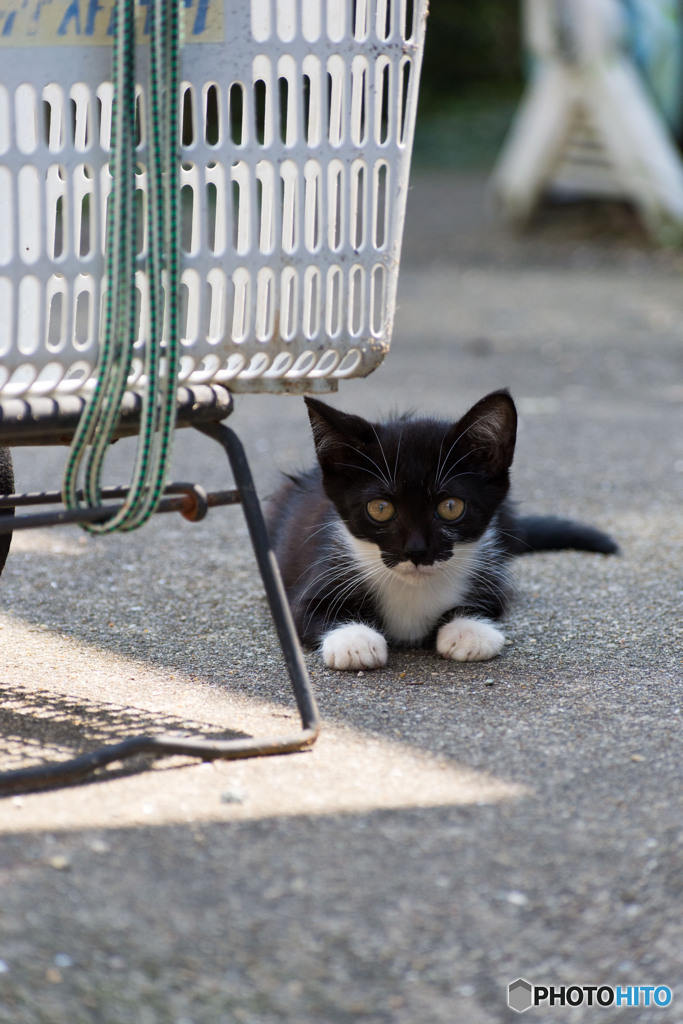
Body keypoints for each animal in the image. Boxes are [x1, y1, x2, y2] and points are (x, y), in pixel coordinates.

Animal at [266, 387, 618, 667]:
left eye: (450, 507)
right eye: (380, 509)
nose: (416, 550)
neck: (413, 589)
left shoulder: (491, 570)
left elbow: (490, 604)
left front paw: (469, 630)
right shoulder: (322, 570)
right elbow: (306, 613)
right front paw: (353, 640)